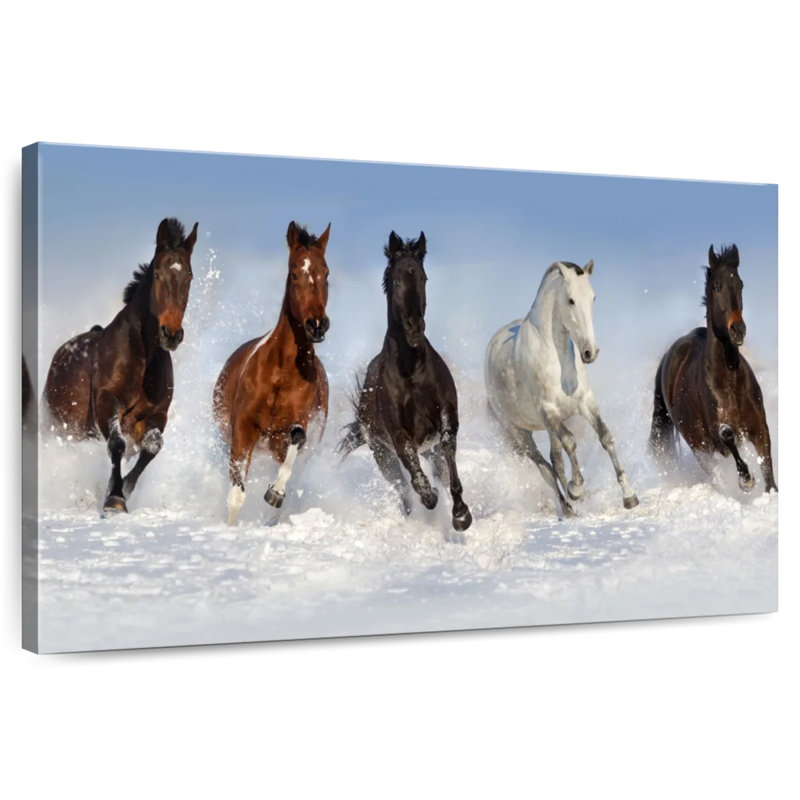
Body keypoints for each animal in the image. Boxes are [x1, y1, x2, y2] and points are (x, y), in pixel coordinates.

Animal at [43, 217, 198, 513]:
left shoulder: (156, 415)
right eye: (157, 274)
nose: (171, 334)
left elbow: (150, 447)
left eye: (189, 276)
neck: (142, 357)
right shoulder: (107, 404)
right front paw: (114, 499)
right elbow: (116, 445)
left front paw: (121, 489)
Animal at [213, 221, 331, 525]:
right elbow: (236, 493)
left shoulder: (293, 427)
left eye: (326, 274)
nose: (317, 325)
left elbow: (296, 440)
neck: (281, 371)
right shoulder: (243, 428)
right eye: (294, 273)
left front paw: (275, 493)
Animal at [338, 231, 472, 534]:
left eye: (423, 278)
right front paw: (430, 497)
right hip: (382, 455)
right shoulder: (399, 436)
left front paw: (460, 514)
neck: (410, 371)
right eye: (396, 280)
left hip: (428, 450)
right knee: (401, 488)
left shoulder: (446, 417)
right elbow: (416, 476)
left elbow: (448, 449)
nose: (414, 327)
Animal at [485, 259, 638, 518]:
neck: (555, 358)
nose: (590, 352)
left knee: (555, 459)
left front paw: (629, 495)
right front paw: (576, 488)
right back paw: (567, 506)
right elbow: (570, 442)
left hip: (547, 429)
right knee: (545, 467)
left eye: (593, 297)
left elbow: (605, 437)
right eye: (571, 300)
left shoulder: (586, 402)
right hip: (519, 432)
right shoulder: (549, 412)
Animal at [649, 244, 777, 493]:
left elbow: (768, 470)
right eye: (717, 287)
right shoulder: (718, 439)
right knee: (714, 473)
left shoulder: (760, 428)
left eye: (740, 284)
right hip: (699, 448)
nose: (738, 330)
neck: (729, 380)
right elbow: (727, 435)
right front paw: (746, 479)